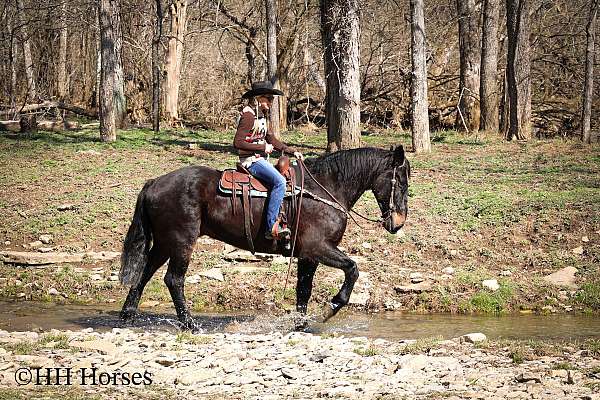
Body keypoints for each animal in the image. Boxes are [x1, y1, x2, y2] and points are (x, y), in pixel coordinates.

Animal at [118, 145, 408, 330]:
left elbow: (303, 290)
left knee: (143, 274)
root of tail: (154, 182)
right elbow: (352, 269)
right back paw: (189, 323)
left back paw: (127, 316)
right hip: (181, 242)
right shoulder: (317, 248)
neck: (326, 188)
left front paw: (300, 325)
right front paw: (332, 307)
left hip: (164, 243)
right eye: (402, 182)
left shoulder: (307, 256)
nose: (398, 223)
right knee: (173, 279)